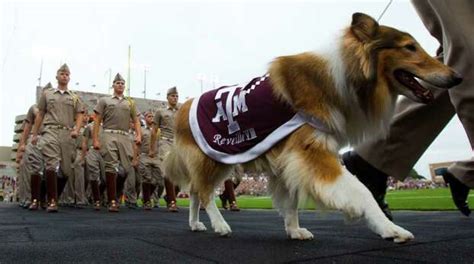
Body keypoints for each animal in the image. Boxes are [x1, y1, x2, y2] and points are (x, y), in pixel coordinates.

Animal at [165, 12, 462, 243]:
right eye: (409, 47)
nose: (457, 77)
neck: (341, 77)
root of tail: (183, 107)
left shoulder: (289, 161)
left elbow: (292, 201)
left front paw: (294, 230)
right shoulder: (311, 153)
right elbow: (361, 192)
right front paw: (390, 228)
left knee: (195, 192)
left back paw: (195, 224)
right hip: (214, 159)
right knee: (204, 193)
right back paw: (220, 225)